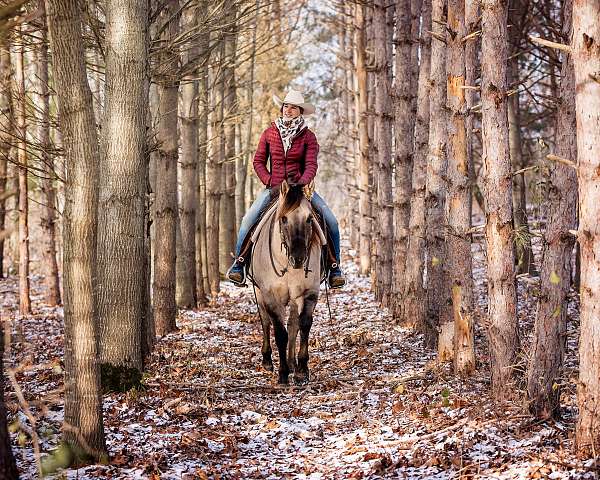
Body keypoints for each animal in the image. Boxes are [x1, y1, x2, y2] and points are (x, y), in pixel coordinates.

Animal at [247, 182, 326, 384]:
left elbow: (303, 325)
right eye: (283, 219)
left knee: (293, 325)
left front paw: (301, 370)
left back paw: (292, 363)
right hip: (260, 294)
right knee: (265, 321)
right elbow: (279, 333)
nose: (298, 258)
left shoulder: (308, 293)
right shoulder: (271, 296)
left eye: (309, 219)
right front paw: (282, 374)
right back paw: (268, 361)